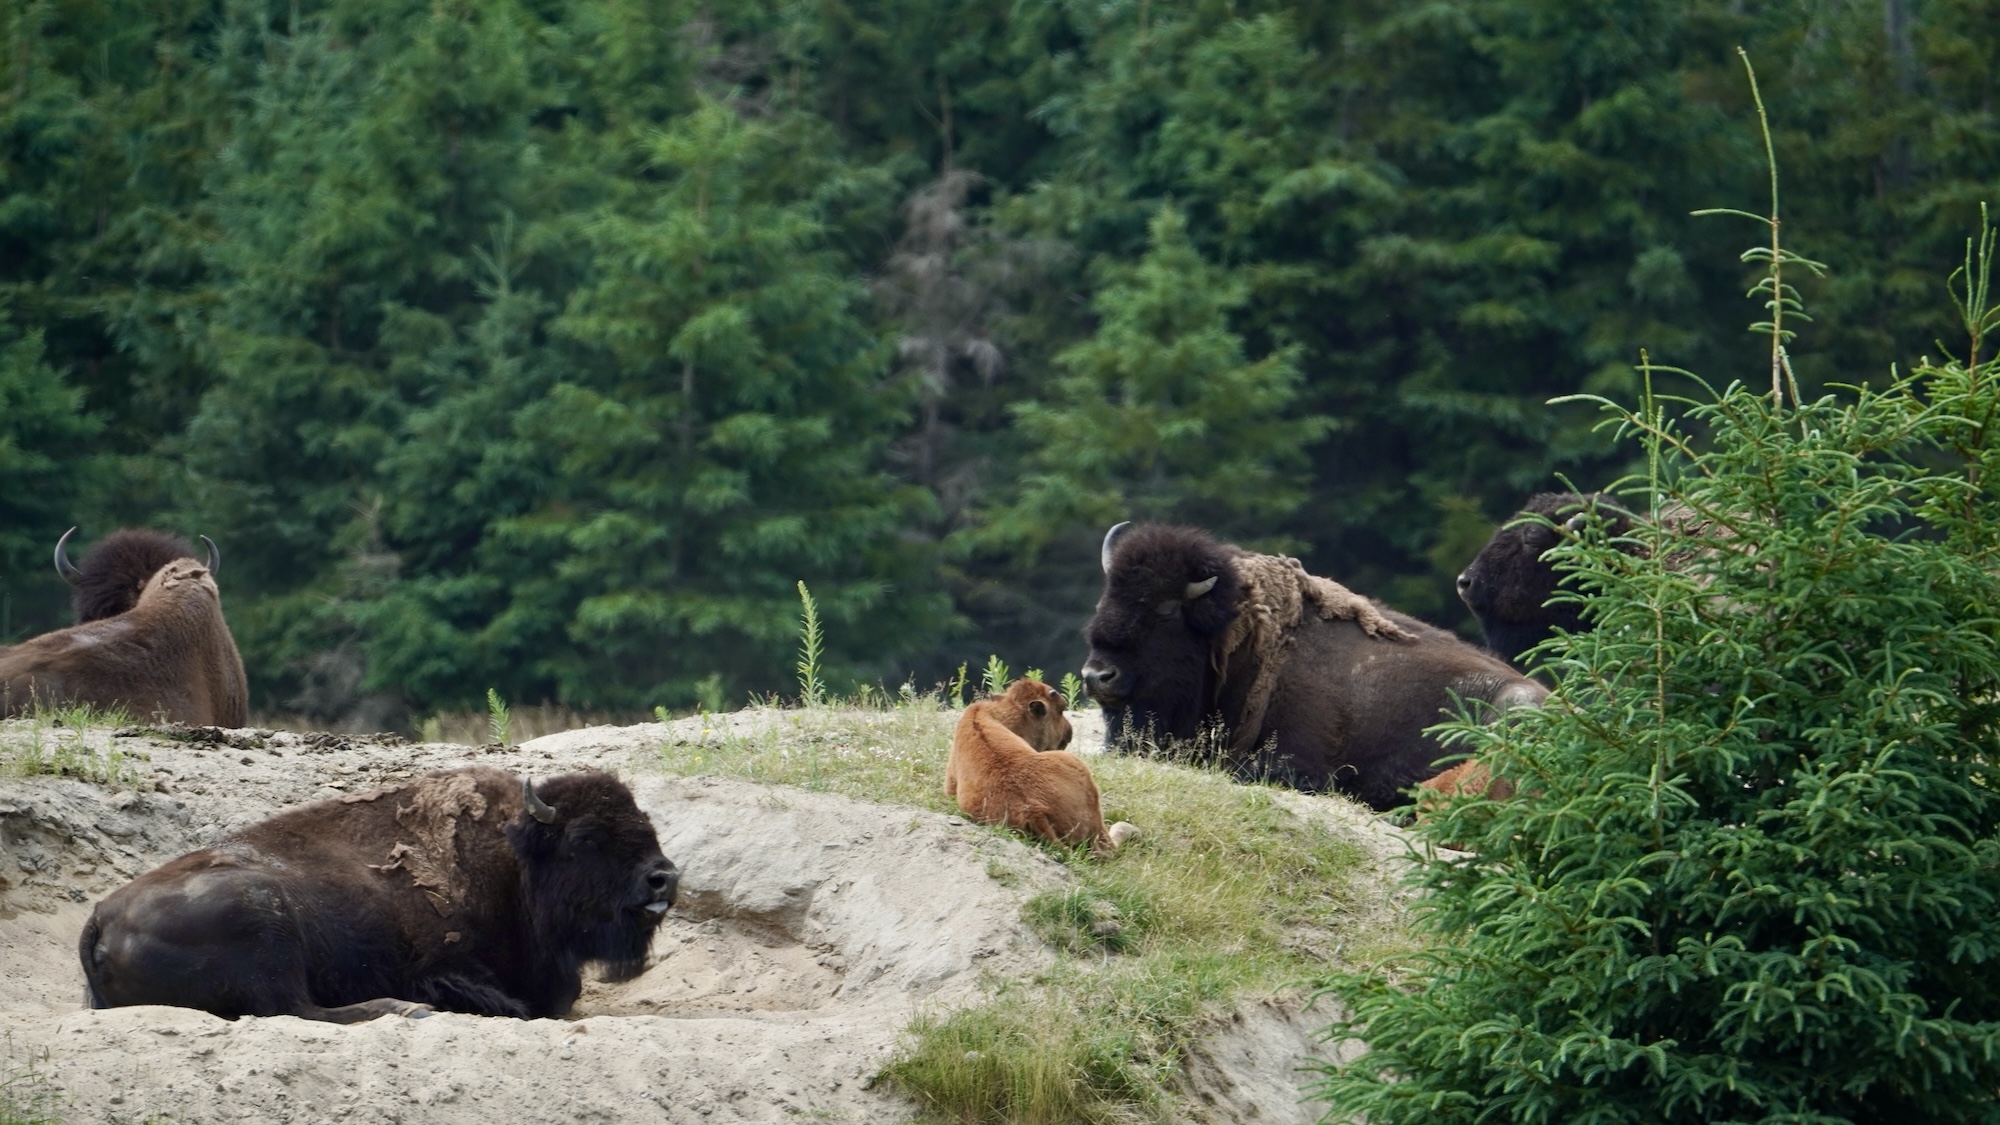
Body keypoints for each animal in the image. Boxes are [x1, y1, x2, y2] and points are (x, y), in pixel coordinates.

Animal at [79, 766, 678, 1023]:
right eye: (586, 837)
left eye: (646, 824)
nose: (664, 878)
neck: (513, 861)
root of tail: (100, 918)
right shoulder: (443, 967)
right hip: (264, 920)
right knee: (295, 1010)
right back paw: (407, 1010)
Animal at [1081, 522, 1545, 811]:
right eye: (1106, 596)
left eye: (1167, 609)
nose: (1097, 676)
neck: (1243, 636)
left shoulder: (1299, 763)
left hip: (1511, 709)